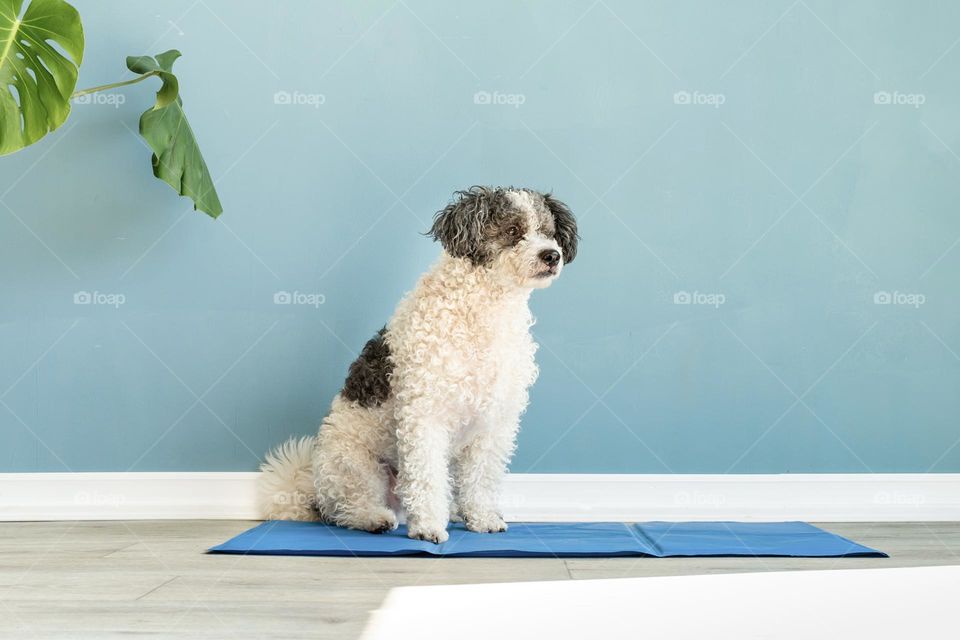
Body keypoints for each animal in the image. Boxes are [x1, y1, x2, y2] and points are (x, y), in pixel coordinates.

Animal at [256, 186, 576, 544]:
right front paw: (428, 527)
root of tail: (313, 486)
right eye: (512, 230)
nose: (552, 255)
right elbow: (426, 476)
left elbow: (481, 477)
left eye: (549, 232)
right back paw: (374, 518)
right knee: (346, 510)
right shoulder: (425, 414)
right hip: (354, 466)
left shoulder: (494, 421)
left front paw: (482, 518)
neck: (482, 309)